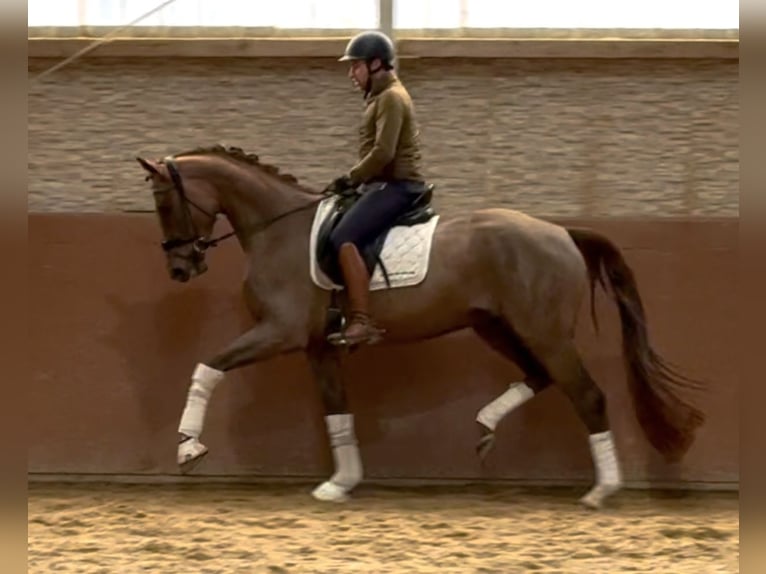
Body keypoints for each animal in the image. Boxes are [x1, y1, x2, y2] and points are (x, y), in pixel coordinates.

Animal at [136, 143, 708, 508]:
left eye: (164, 202)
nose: (180, 269)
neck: (280, 230)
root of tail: (562, 232)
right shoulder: (319, 347)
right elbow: (336, 410)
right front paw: (341, 484)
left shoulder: (280, 333)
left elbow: (206, 367)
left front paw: (188, 447)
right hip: (500, 327)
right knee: (541, 378)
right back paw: (485, 427)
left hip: (544, 332)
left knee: (587, 395)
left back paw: (600, 491)